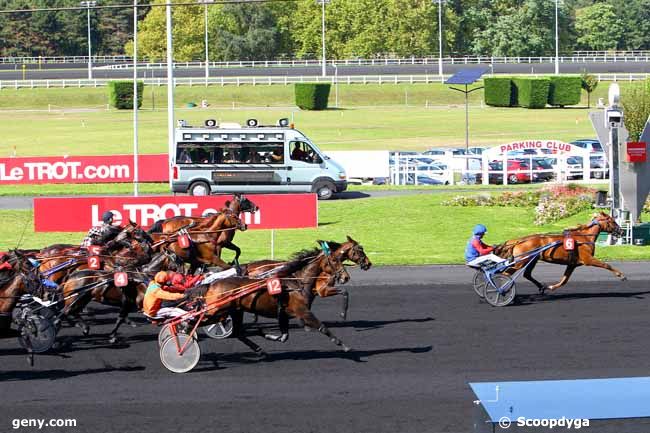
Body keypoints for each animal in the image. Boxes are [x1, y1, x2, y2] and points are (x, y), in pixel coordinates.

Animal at [187, 245, 350, 356]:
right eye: (334, 260)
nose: (345, 277)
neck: (296, 282)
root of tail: (211, 284)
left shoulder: (283, 314)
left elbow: (284, 337)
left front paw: (264, 333)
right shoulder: (302, 311)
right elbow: (322, 327)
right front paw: (343, 345)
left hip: (234, 311)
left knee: (237, 332)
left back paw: (259, 350)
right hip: (217, 310)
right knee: (196, 322)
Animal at [240, 235, 372, 318]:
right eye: (360, 250)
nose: (369, 263)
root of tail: (249, 266)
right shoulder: (323, 290)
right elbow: (344, 292)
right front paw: (343, 314)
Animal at [494, 211, 624, 292]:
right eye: (612, 221)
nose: (622, 231)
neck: (584, 238)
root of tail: (517, 240)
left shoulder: (572, 264)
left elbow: (564, 280)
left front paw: (551, 287)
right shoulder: (588, 259)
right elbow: (606, 265)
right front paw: (621, 275)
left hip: (532, 260)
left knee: (527, 274)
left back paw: (541, 287)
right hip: (521, 262)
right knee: (506, 274)